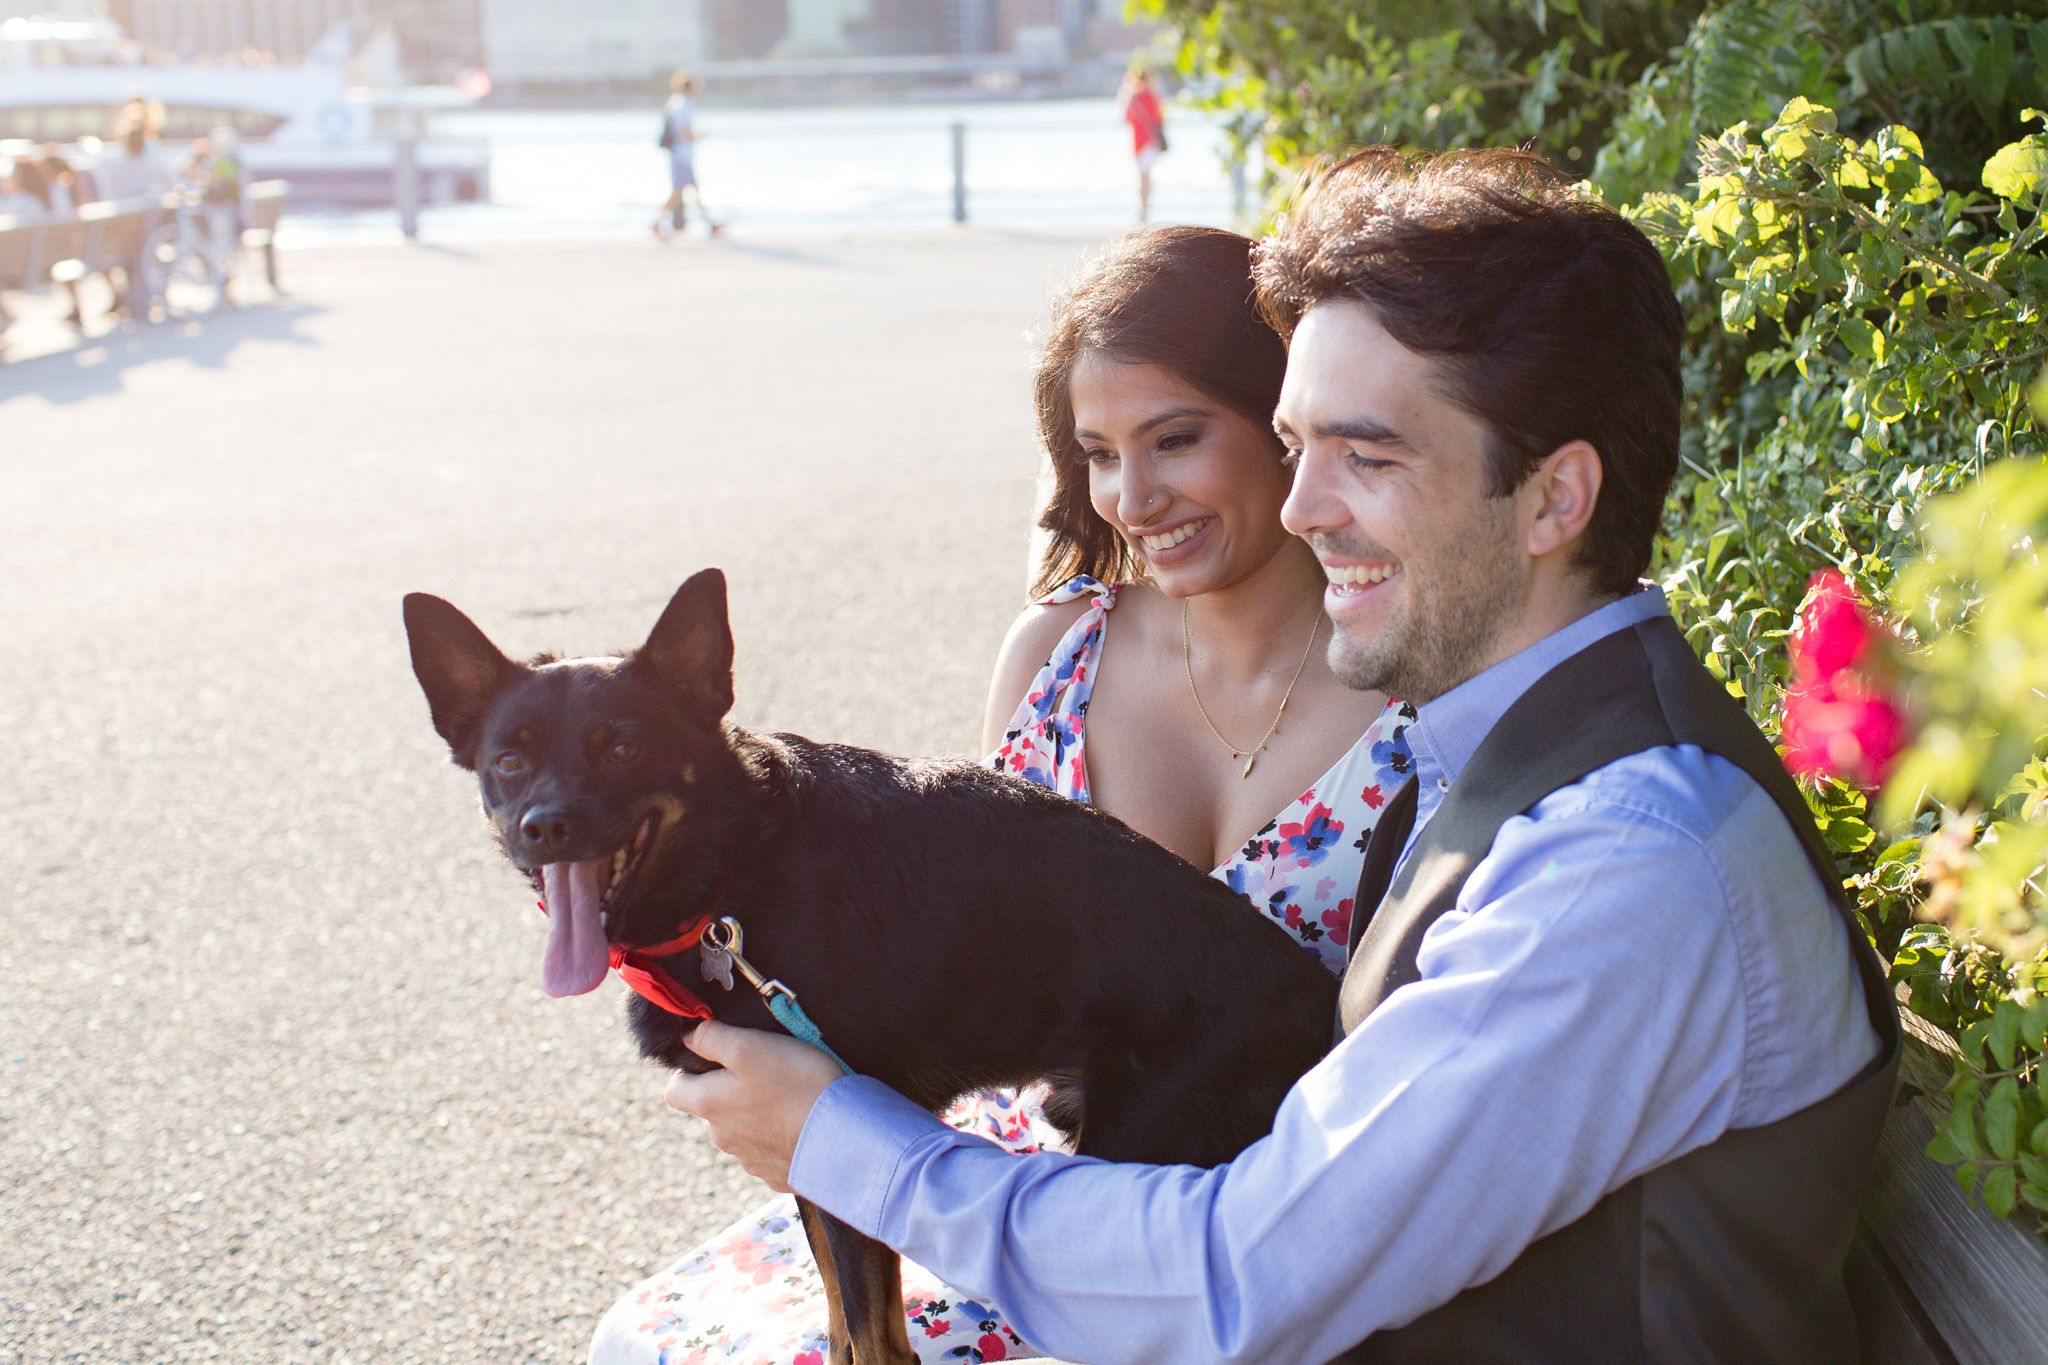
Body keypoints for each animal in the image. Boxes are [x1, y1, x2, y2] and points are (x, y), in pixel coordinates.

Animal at [405, 573, 1343, 1365]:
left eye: (621, 748)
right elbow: (839, 1314)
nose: (543, 825)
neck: (733, 870)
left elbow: (874, 1332)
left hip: (1140, 1153)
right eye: (509, 760)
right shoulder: (815, 1151)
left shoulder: (837, 1114)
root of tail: (1319, 1003)